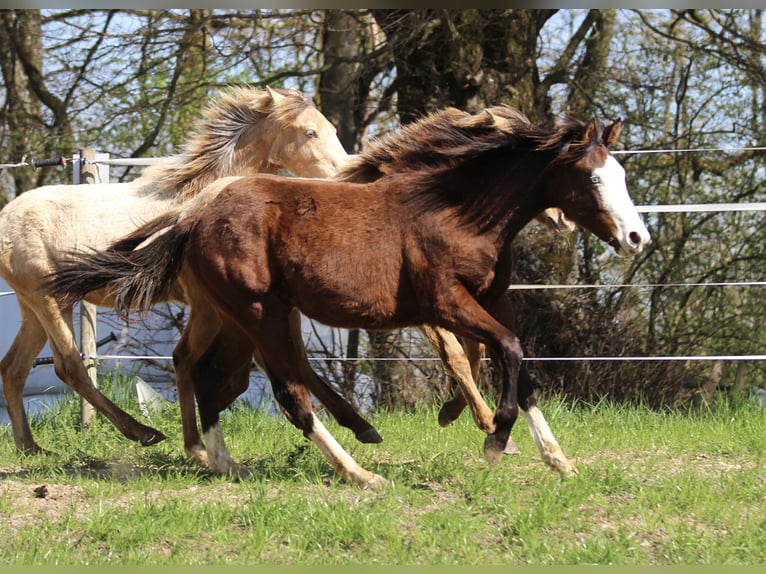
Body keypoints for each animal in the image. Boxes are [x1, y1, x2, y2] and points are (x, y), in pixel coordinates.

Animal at [0, 85, 382, 456]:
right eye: (309, 132)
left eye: (332, 129)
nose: (346, 175)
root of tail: (5, 219)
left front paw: (361, 427)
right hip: (50, 303)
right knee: (69, 367)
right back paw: (144, 433)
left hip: (33, 308)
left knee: (14, 369)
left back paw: (30, 446)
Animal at [47, 107, 650, 487]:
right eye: (593, 180)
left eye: (619, 173)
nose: (636, 238)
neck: (459, 216)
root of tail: (194, 214)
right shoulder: (445, 302)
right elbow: (507, 350)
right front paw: (494, 441)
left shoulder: (493, 299)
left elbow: (520, 366)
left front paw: (560, 461)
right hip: (260, 313)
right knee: (285, 393)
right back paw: (359, 473)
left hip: (242, 318)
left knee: (212, 375)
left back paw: (223, 462)